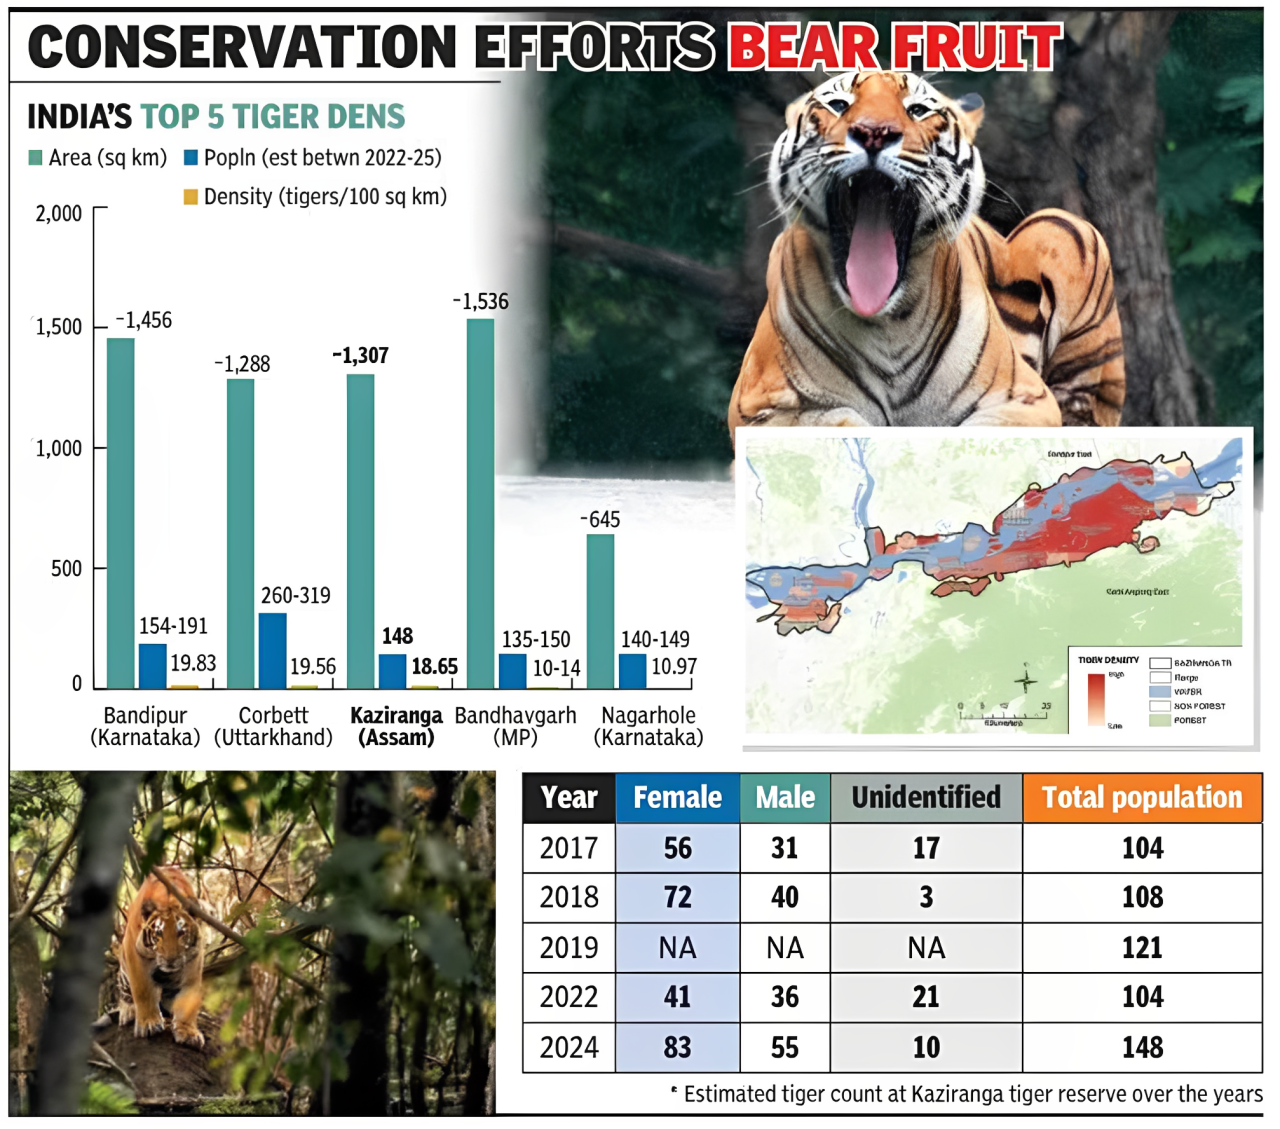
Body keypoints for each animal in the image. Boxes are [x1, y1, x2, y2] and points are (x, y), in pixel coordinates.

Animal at [117, 866, 205, 1048]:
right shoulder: (134, 952)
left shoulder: (193, 961)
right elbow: (142, 990)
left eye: (181, 933)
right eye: (158, 933)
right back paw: (128, 1012)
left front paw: (188, 1032)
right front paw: (148, 1024)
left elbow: (188, 1000)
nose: (170, 960)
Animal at [728, 70, 1125, 434]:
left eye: (916, 110)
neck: (888, 326)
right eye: (839, 105)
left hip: (1065, 229)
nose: (874, 132)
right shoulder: (758, 405)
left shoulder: (1026, 399)